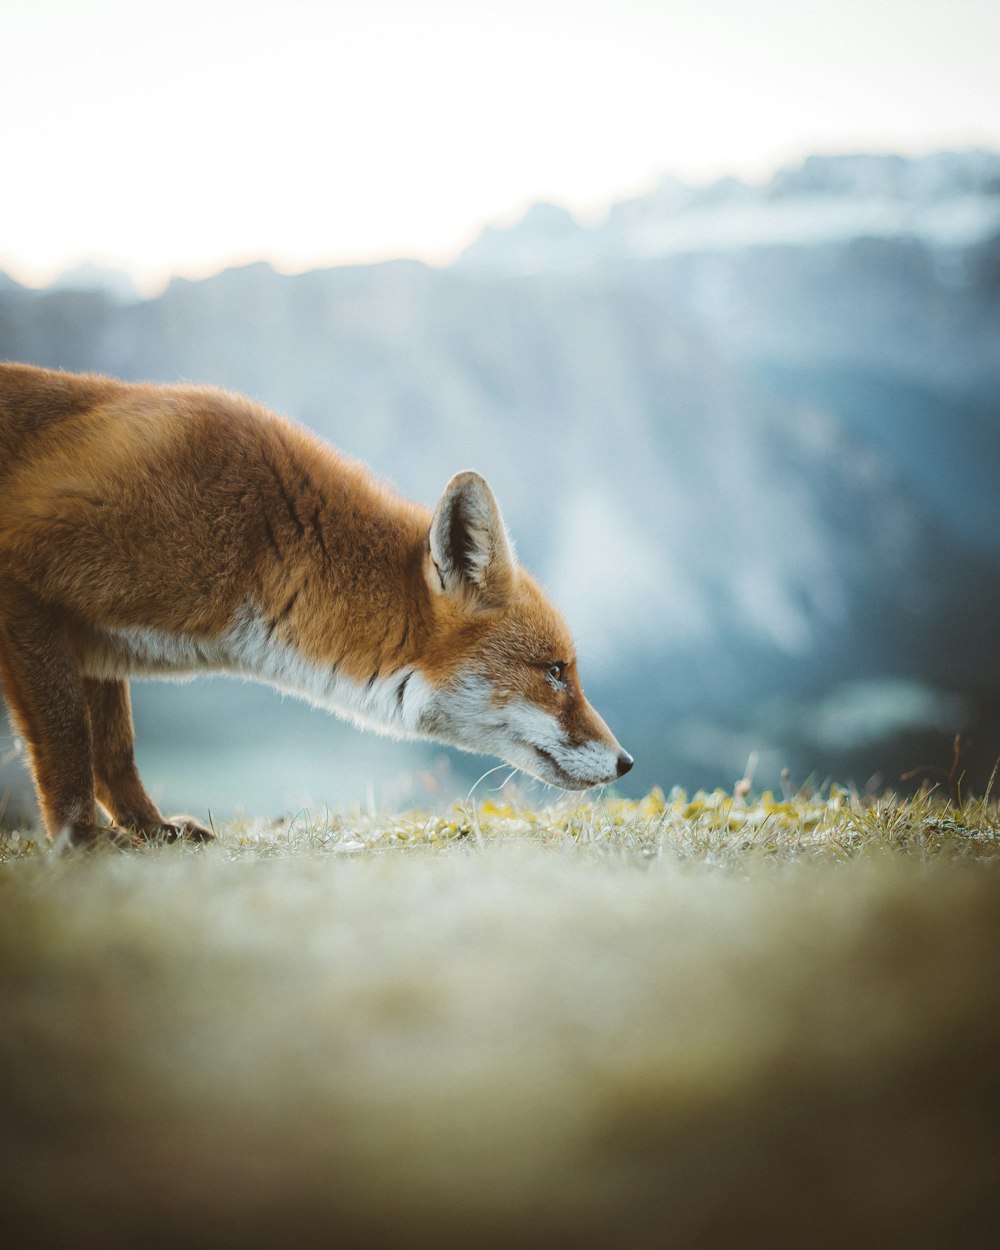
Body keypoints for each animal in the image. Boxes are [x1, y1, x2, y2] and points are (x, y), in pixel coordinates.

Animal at [0, 365, 632, 845]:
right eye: (555, 672)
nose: (626, 761)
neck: (257, 543)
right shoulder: (25, 572)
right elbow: (70, 743)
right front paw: (83, 843)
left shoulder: (98, 643)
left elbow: (114, 751)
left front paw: (149, 829)